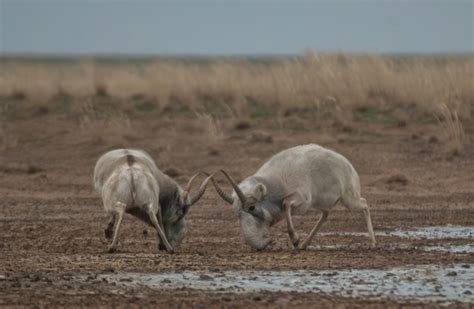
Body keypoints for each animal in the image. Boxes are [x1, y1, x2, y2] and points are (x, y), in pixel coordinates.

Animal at [209, 144, 376, 250]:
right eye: (236, 212)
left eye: (252, 207)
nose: (267, 240)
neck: (276, 182)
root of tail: (347, 163)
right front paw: (297, 242)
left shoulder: (302, 201)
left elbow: (286, 203)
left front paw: (295, 240)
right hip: (323, 203)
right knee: (325, 214)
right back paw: (305, 244)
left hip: (349, 200)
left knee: (364, 203)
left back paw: (373, 242)